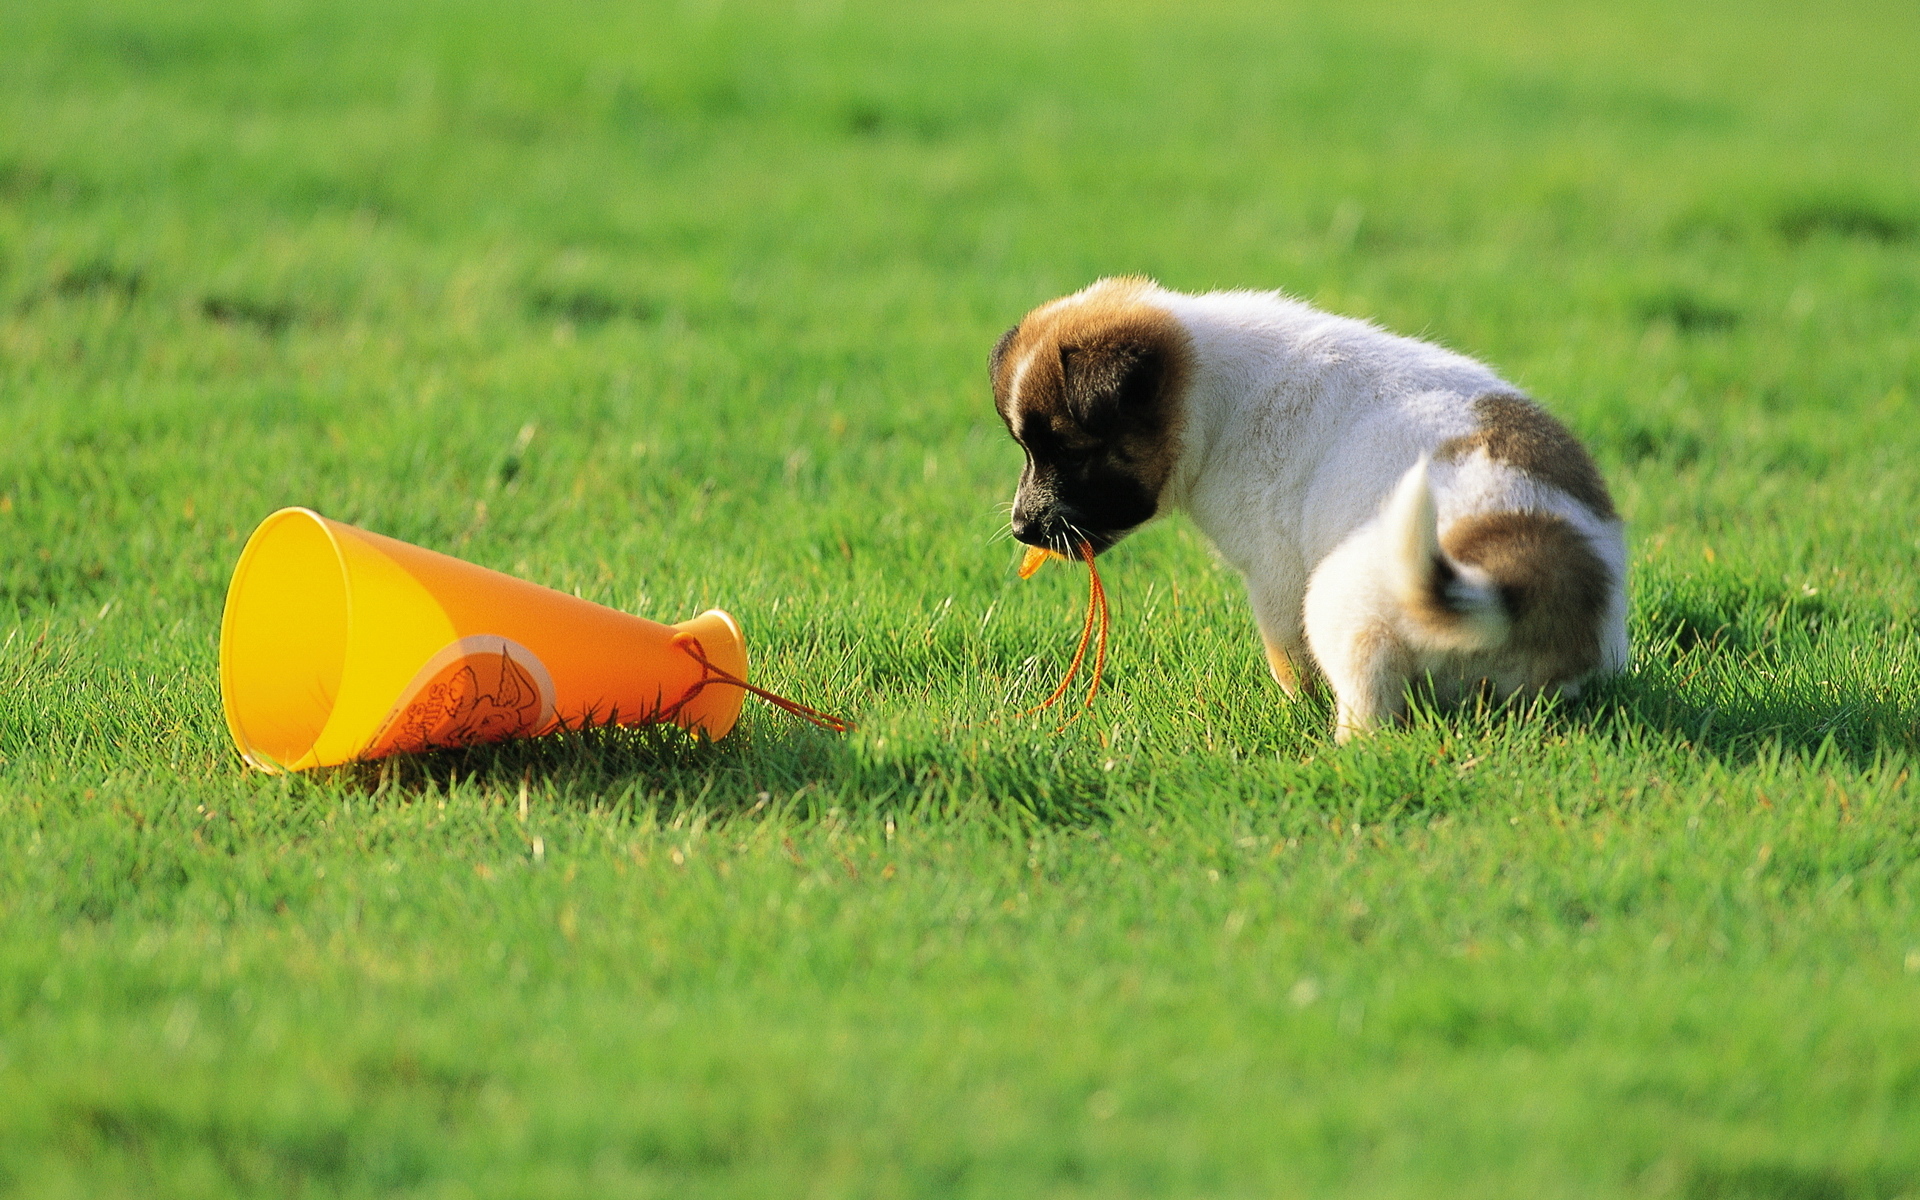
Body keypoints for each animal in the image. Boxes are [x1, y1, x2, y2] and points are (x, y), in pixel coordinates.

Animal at [998, 276, 1628, 741]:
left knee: (1369, 712)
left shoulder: (1275, 575)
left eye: (1070, 451)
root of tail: (1522, 585)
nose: (1021, 530)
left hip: (1337, 602)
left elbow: (1287, 658)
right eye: (1026, 448)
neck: (1211, 394)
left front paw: (1296, 706)